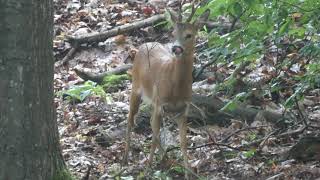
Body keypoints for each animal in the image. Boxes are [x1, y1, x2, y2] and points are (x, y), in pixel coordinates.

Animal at [122, 3, 210, 179]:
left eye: (189, 35)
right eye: (173, 33)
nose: (176, 48)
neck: (175, 87)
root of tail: (144, 44)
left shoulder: (183, 109)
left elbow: (183, 143)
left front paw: (188, 173)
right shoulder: (160, 103)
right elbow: (154, 138)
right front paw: (147, 171)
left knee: (150, 124)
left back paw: (165, 158)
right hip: (136, 88)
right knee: (130, 119)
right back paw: (126, 158)